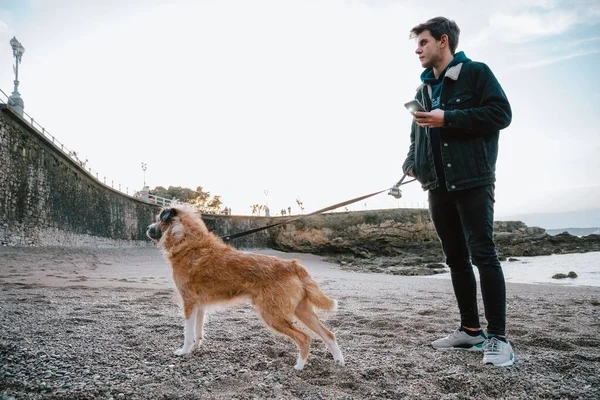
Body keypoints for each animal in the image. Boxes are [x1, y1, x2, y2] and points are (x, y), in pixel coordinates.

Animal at [146, 205, 344, 370]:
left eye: (158, 219)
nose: (147, 228)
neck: (188, 241)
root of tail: (291, 264)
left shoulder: (188, 302)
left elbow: (187, 332)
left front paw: (184, 351)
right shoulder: (199, 305)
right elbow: (198, 331)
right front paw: (195, 348)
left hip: (273, 316)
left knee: (305, 338)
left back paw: (299, 366)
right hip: (302, 311)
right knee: (328, 334)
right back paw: (339, 361)